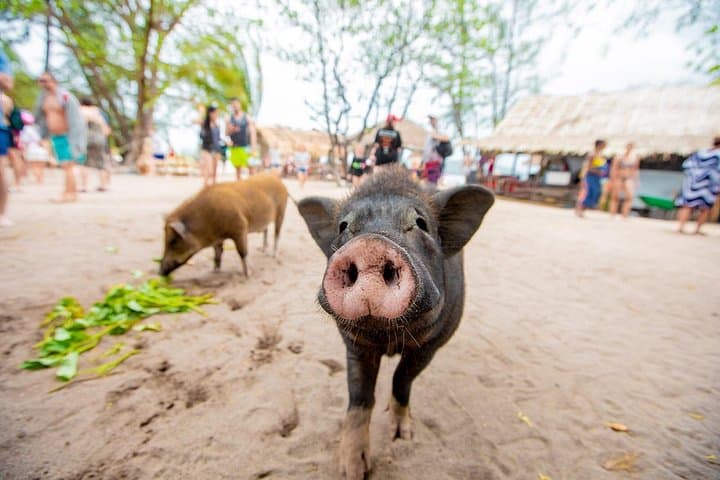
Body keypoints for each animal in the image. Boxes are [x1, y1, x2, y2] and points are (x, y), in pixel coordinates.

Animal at [159, 173, 288, 277]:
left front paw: (248, 274)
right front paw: (214, 272)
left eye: (172, 241)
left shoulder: (241, 228)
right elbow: (217, 253)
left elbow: (242, 252)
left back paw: (273, 255)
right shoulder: (217, 239)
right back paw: (263, 250)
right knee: (266, 230)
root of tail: (280, 182)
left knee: (277, 233)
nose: (160, 272)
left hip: (281, 211)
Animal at [297, 166, 494, 479]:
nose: (370, 245)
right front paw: (353, 470)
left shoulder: (431, 345)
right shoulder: (354, 344)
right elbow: (360, 396)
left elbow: (402, 380)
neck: (386, 335)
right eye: (343, 226)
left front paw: (402, 436)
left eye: (421, 223)